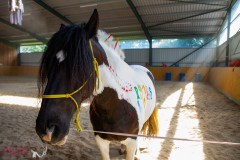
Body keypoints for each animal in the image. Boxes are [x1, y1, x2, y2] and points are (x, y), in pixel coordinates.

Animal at [35, 9, 158, 160]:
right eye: (49, 66)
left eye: (79, 66)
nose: (46, 129)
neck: (116, 105)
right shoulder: (101, 141)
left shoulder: (131, 141)